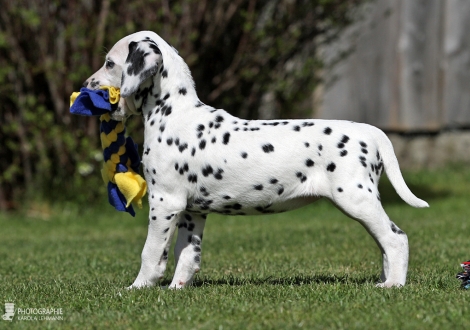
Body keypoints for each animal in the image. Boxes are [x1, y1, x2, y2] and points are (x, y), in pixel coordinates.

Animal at [82, 31, 428, 288]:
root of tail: (370, 132)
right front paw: (177, 289)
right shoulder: (192, 211)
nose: (86, 86)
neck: (174, 113)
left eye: (110, 63)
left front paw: (138, 287)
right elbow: (186, 255)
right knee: (385, 243)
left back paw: (393, 285)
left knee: (396, 239)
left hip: (357, 199)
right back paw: (386, 280)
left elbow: (152, 253)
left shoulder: (165, 202)